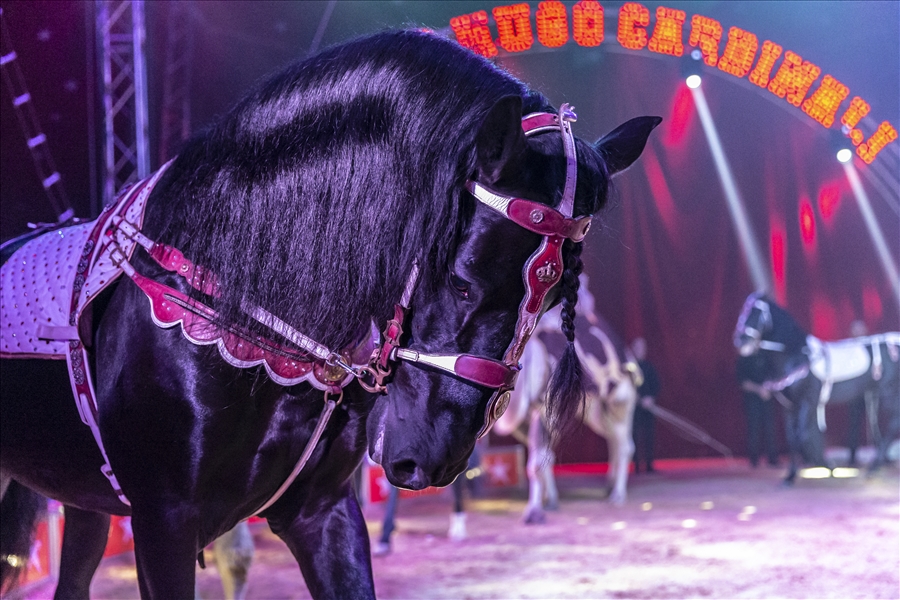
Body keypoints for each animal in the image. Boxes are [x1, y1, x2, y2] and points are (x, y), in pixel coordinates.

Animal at [495, 279, 641, 523]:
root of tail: (628, 356)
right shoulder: (525, 422)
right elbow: (545, 458)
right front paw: (549, 501)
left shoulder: (542, 410)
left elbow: (536, 464)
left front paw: (533, 512)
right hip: (597, 411)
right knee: (612, 438)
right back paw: (609, 487)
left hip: (620, 401)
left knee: (625, 444)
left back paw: (618, 495)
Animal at [733, 292, 900, 483]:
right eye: (743, 310)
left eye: (756, 311)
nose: (740, 340)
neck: (796, 356)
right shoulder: (789, 406)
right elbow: (793, 438)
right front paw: (797, 473)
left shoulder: (808, 402)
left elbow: (803, 436)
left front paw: (816, 468)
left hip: (889, 393)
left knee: (893, 424)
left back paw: (874, 466)